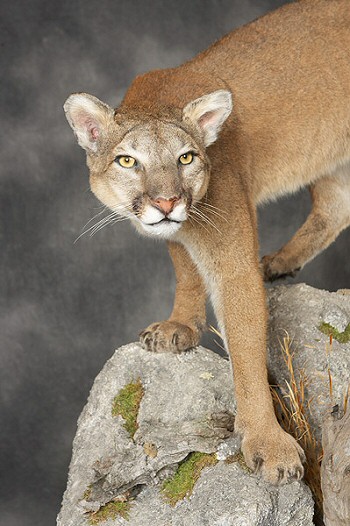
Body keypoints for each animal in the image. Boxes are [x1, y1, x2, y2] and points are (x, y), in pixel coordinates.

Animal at [63, 1, 350, 486]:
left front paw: (266, 443)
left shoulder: (229, 255)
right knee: (335, 205)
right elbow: (186, 272)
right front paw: (180, 326)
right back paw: (281, 261)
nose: (166, 202)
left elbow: (246, 346)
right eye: (127, 161)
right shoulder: (182, 233)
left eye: (186, 157)